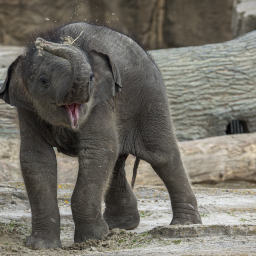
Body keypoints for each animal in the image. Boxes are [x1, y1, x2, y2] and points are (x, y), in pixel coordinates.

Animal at [0, 23, 202, 249]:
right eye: (44, 81)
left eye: (91, 78)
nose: (41, 42)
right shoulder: (26, 109)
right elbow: (36, 158)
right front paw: (42, 246)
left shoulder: (100, 100)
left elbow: (98, 149)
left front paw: (92, 239)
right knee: (118, 161)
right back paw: (120, 225)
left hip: (152, 97)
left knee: (163, 156)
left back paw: (184, 225)